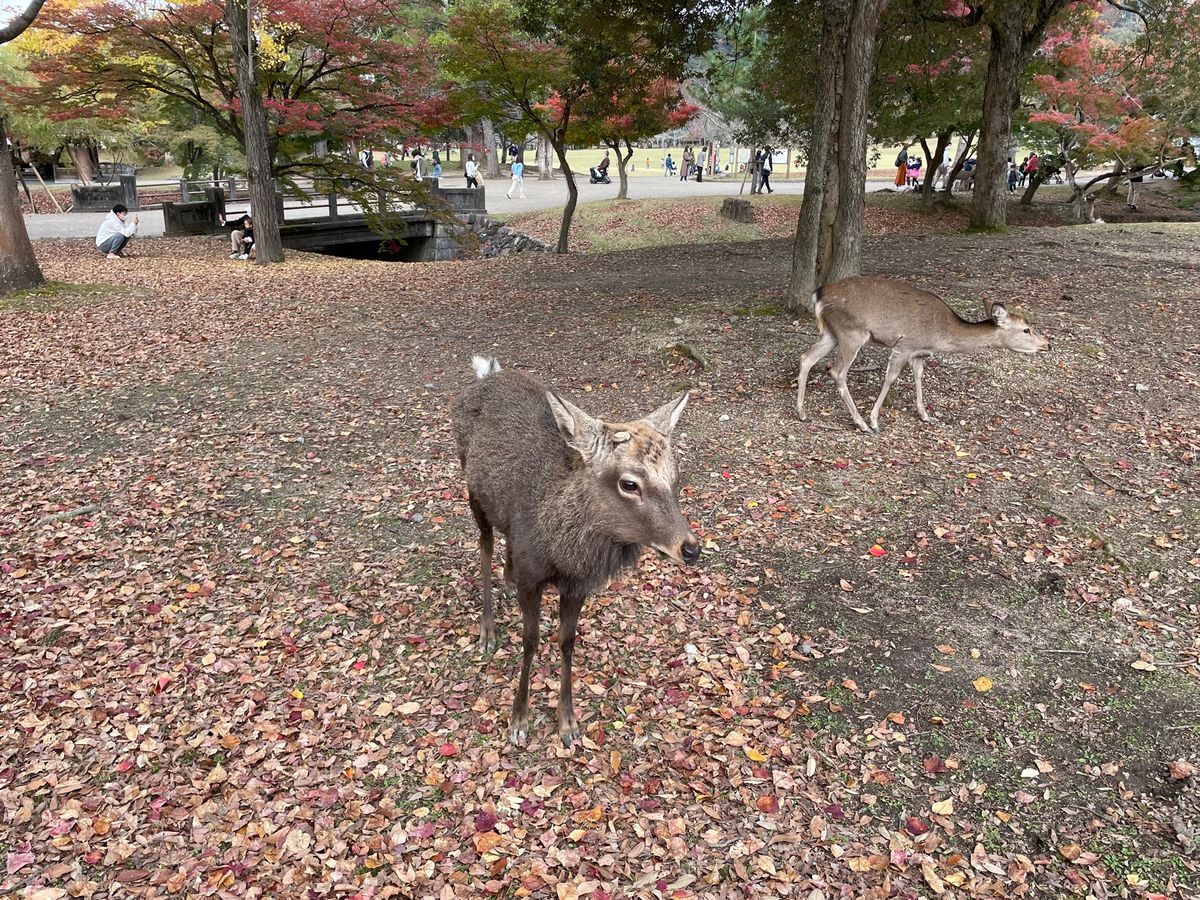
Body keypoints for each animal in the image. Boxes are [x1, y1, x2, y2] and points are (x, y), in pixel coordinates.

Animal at [451, 356, 701, 747]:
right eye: (629, 483)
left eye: (675, 479)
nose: (690, 548)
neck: (560, 551)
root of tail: (486, 373)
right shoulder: (533, 578)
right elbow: (531, 640)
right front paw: (518, 720)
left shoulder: (578, 584)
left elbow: (567, 641)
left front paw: (567, 723)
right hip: (472, 489)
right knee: (485, 547)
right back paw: (487, 630)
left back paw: (506, 581)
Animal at [795, 276, 1050, 433]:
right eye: (1026, 329)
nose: (1047, 344)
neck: (940, 335)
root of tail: (818, 294)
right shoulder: (905, 345)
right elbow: (891, 378)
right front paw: (875, 420)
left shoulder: (919, 353)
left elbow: (918, 376)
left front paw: (925, 415)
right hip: (852, 332)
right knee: (837, 371)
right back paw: (861, 424)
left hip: (832, 332)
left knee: (807, 357)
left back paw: (802, 413)